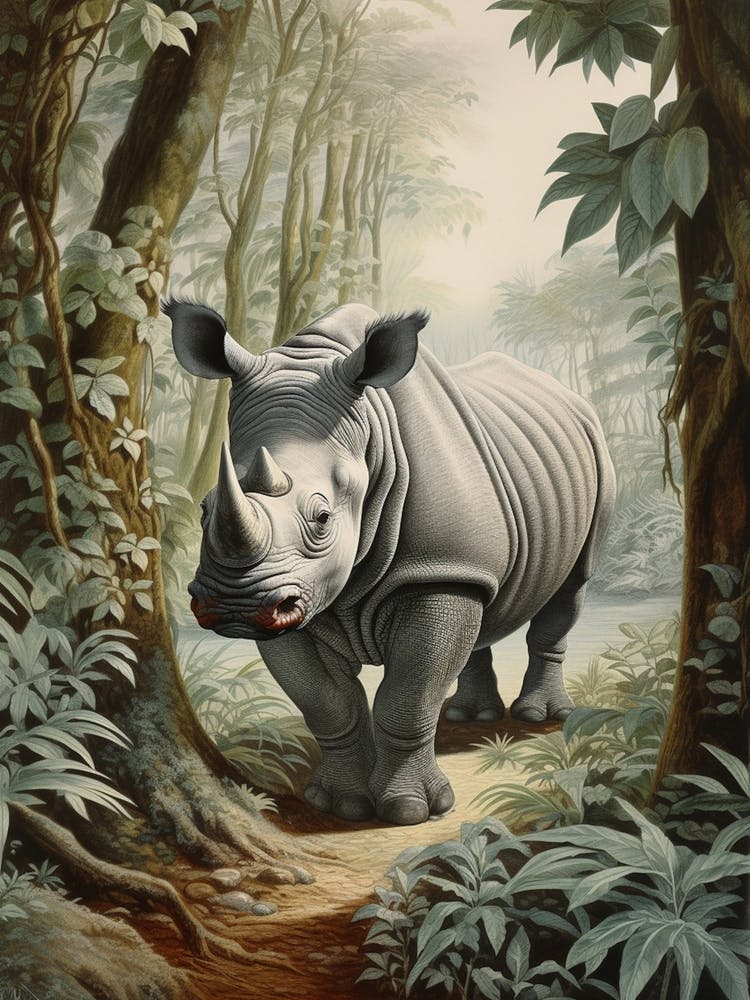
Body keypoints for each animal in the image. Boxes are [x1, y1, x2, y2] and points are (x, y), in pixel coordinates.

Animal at [166, 300, 615, 826]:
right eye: (205, 508)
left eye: (322, 518)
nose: (234, 604)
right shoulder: (291, 594)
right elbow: (328, 704)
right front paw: (339, 804)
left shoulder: (437, 570)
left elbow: (408, 696)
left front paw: (410, 811)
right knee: (484, 602)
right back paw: (471, 717)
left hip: (593, 456)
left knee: (571, 585)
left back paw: (539, 717)